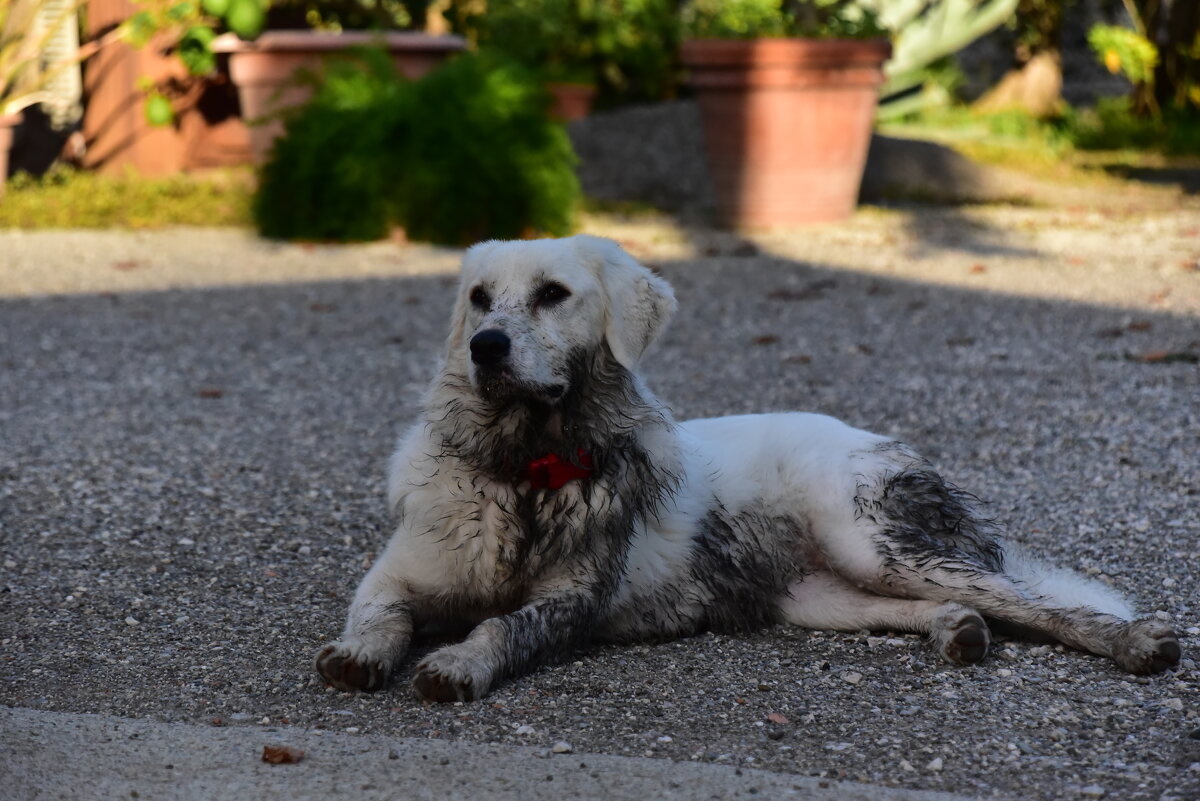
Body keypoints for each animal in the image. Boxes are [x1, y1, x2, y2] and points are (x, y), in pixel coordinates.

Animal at [314, 235, 1185, 695]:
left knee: (1031, 601)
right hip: (823, 595)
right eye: (479, 299)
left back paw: (1136, 640)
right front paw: (361, 654)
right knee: (947, 606)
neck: (525, 470)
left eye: (553, 294)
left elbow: (501, 623)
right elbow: (378, 616)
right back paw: (957, 629)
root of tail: (880, 438)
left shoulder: (569, 600)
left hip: (872, 541)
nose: (485, 347)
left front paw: (458, 660)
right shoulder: (393, 574)